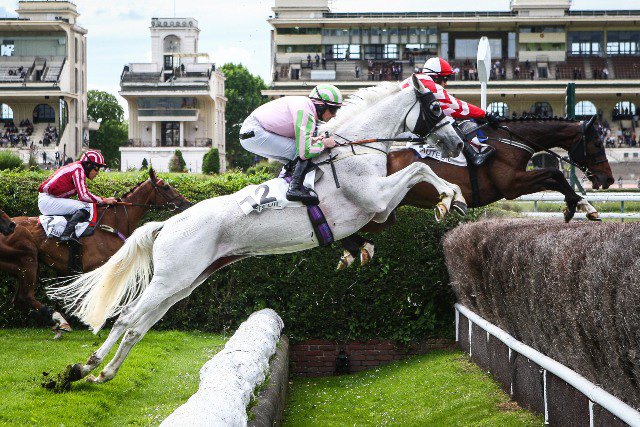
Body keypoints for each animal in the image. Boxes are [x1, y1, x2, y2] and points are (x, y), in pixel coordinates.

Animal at [2, 168, 191, 337]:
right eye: (165, 187)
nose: (188, 204)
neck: (111, 223)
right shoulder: (96, 267)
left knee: (19, 299)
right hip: (28, 261)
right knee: (25, 296)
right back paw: (59, 320)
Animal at [47, 78, 468, 384]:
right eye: (436, 107)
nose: (459, 143)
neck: (357, 148)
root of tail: (168, 222)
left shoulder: (378, 212)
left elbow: (413, 180)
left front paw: (362, 247)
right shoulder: (374, 198)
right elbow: (419, 168)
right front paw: (451, 198)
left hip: (185, 281)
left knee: (139, 326)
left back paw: (104, 373)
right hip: (171, 278)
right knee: (126, 318)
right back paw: (84, 367)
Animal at [338, 115, 615, 268]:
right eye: (597, 143)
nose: (608, 179)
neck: (510, 140)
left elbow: (556, 177)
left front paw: (583, 206)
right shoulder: (511, 185)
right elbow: (555, 175)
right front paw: (575, 206)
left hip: (384, 215)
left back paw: (352, 250)